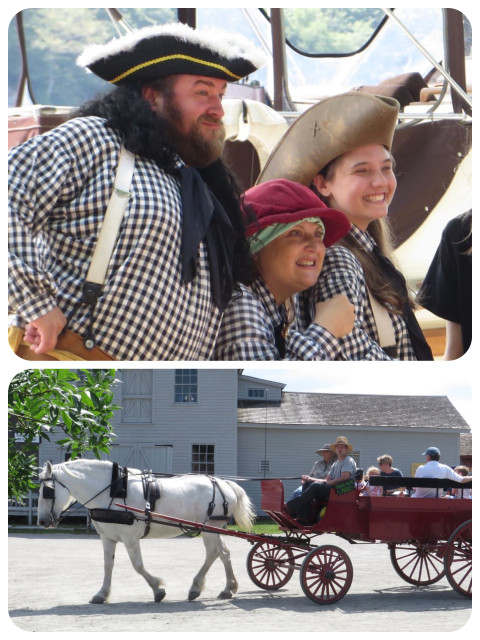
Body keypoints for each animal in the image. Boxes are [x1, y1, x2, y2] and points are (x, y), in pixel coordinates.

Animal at [37, 458, 255, 604]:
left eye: (47, 491)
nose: (42, 521)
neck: (113, 491)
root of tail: (223, 483)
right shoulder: (107, 538)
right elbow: (108, 566)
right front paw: (101, 594)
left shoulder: (130, 538)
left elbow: (138, 566)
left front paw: (158, 590)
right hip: (215, 528)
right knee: (224, 553)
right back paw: (228, 588)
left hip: (209, 529)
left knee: (212, 553)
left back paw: (195, 587)